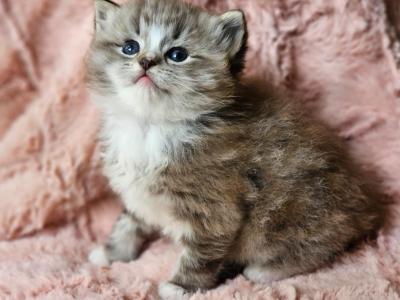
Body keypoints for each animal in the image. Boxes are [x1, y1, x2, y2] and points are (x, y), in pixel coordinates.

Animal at [86, 0, 382, 298]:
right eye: (130, 47)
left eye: (178, 55)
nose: (146, 61)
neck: (150, 125)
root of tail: (367, 207)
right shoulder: (137, 193)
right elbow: (128, 223)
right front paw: (113, 253)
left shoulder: (215, 207)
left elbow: (200, 253)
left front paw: (180, 287)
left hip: (296, 216)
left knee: (320, 248)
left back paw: (265, 270)